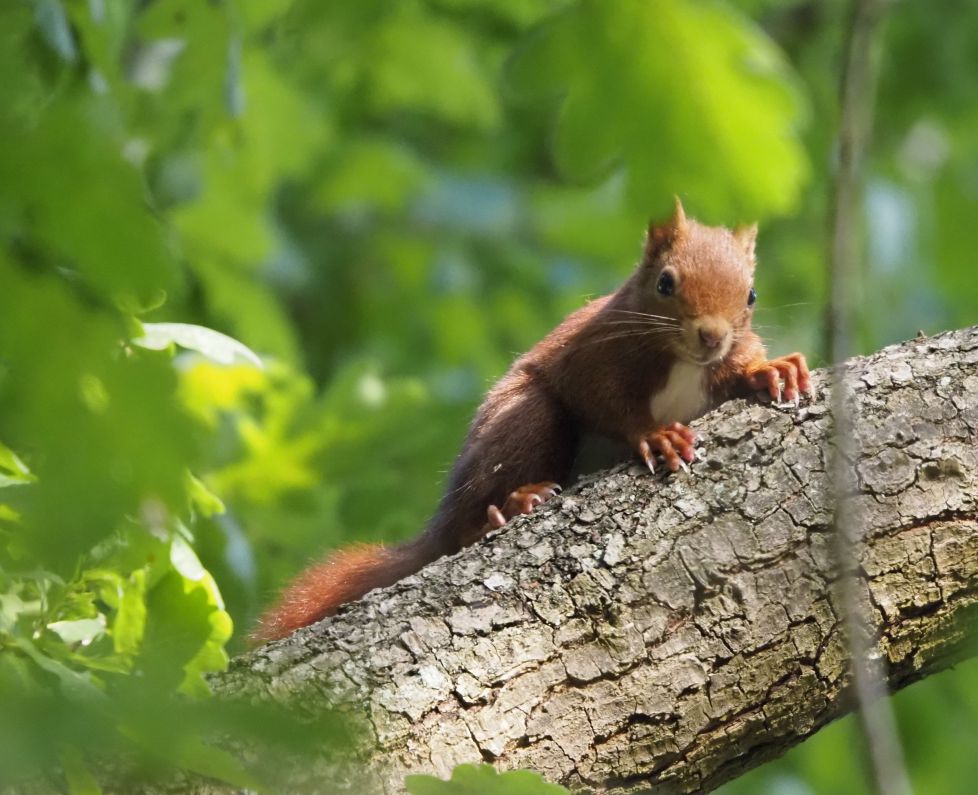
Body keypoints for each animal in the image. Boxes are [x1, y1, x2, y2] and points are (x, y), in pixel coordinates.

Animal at [251, 199, 811, 644]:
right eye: (665, 282)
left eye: (752, 295)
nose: (711, 336)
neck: (680, 361)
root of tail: (437, 526)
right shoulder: (593, 356)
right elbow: (607, 402)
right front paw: (656, 436)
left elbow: (743, 367)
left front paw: (773, 370)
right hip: (525, 419)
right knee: (466, 526)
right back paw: (509, 508)